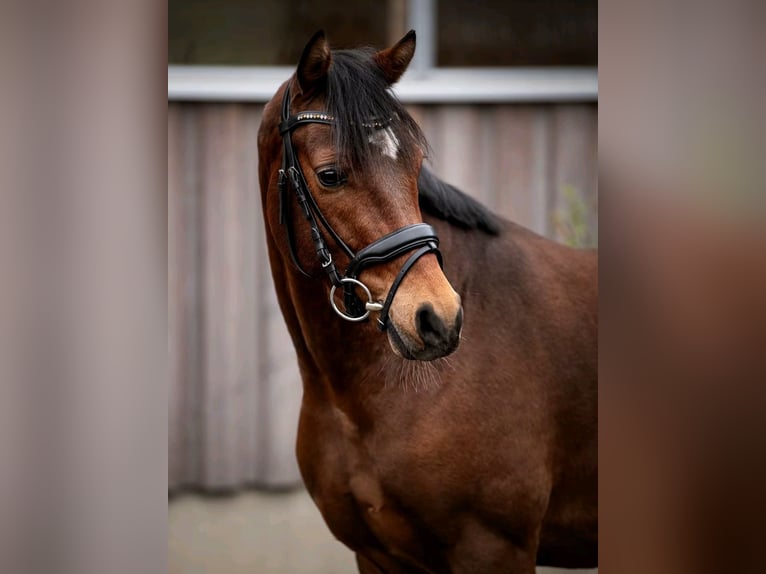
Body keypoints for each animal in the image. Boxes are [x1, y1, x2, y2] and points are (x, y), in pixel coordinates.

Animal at [258, 32, 600, 574]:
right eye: (330, 175)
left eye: (416, 166)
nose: (439, 319)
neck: (360, 399)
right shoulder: (376, 556)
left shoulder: (495, 549)